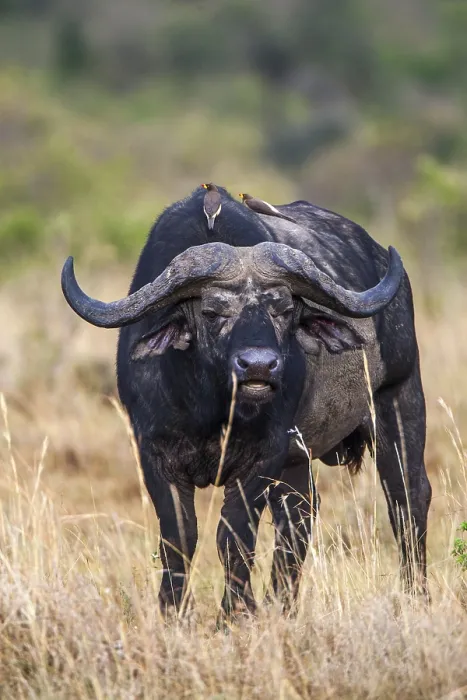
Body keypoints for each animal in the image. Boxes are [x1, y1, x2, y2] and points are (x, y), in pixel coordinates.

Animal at [61, 186, 431, 617]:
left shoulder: (262, 457)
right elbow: (179, 536)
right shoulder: (154, 454)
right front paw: (174, 611)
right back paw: (282, 605)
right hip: (300, 457)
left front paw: (234, 613)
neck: (211, 408)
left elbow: (233, 535)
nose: (258, 365)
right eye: (211, 312)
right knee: (299, 514)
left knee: (407, 497)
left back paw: (416, 596)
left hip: (400, 398)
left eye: (284, 310)